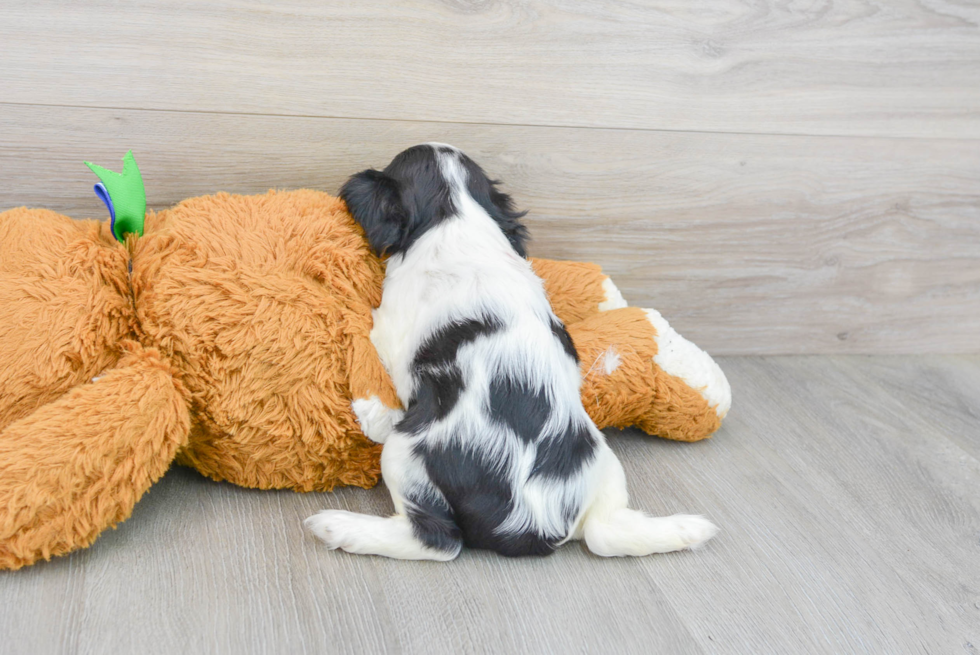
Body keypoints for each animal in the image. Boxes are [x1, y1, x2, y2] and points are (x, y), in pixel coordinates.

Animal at [302, 146, 716, 560]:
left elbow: (363, 326)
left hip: (406, 451)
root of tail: (536, 526)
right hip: (604, 463)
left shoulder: (387, 329)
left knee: (437, 539)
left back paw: (339, 527)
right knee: (607, 531)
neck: (456, 216)